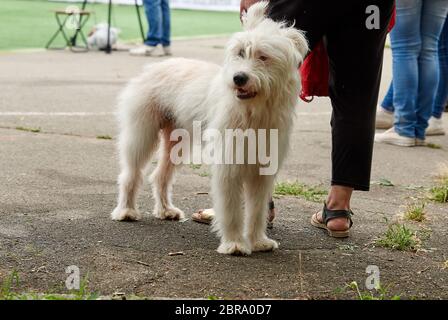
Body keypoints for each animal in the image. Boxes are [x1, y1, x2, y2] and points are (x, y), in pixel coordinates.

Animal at [112, 0, 308, 255]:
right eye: (240, 53)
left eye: (263, 57)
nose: (239, 78)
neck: (252, 112)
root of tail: (153, 67)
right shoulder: (229, 167)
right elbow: (232, 210)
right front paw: (234, 243)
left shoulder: (262, 171)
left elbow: (257, 210)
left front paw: (258, 241)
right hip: (141, 134)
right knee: (131, 173)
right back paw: (126, 211)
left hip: (177, 142)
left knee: (160, 176)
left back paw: (166, 210)